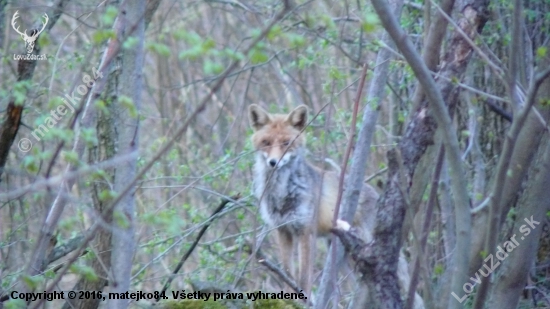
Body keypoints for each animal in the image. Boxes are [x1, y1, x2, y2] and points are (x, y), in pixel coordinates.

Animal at [250, 104, 426, 308]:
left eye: (287, 143)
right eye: (266, 142)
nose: (273, 162)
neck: (282, 192)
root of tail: (376, 194)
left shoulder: (305, 230)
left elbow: (303, 277)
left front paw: (303, 301)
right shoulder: (283, 230)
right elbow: (287, 272)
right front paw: (287, 300)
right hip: (344, 257)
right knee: (360, 286)